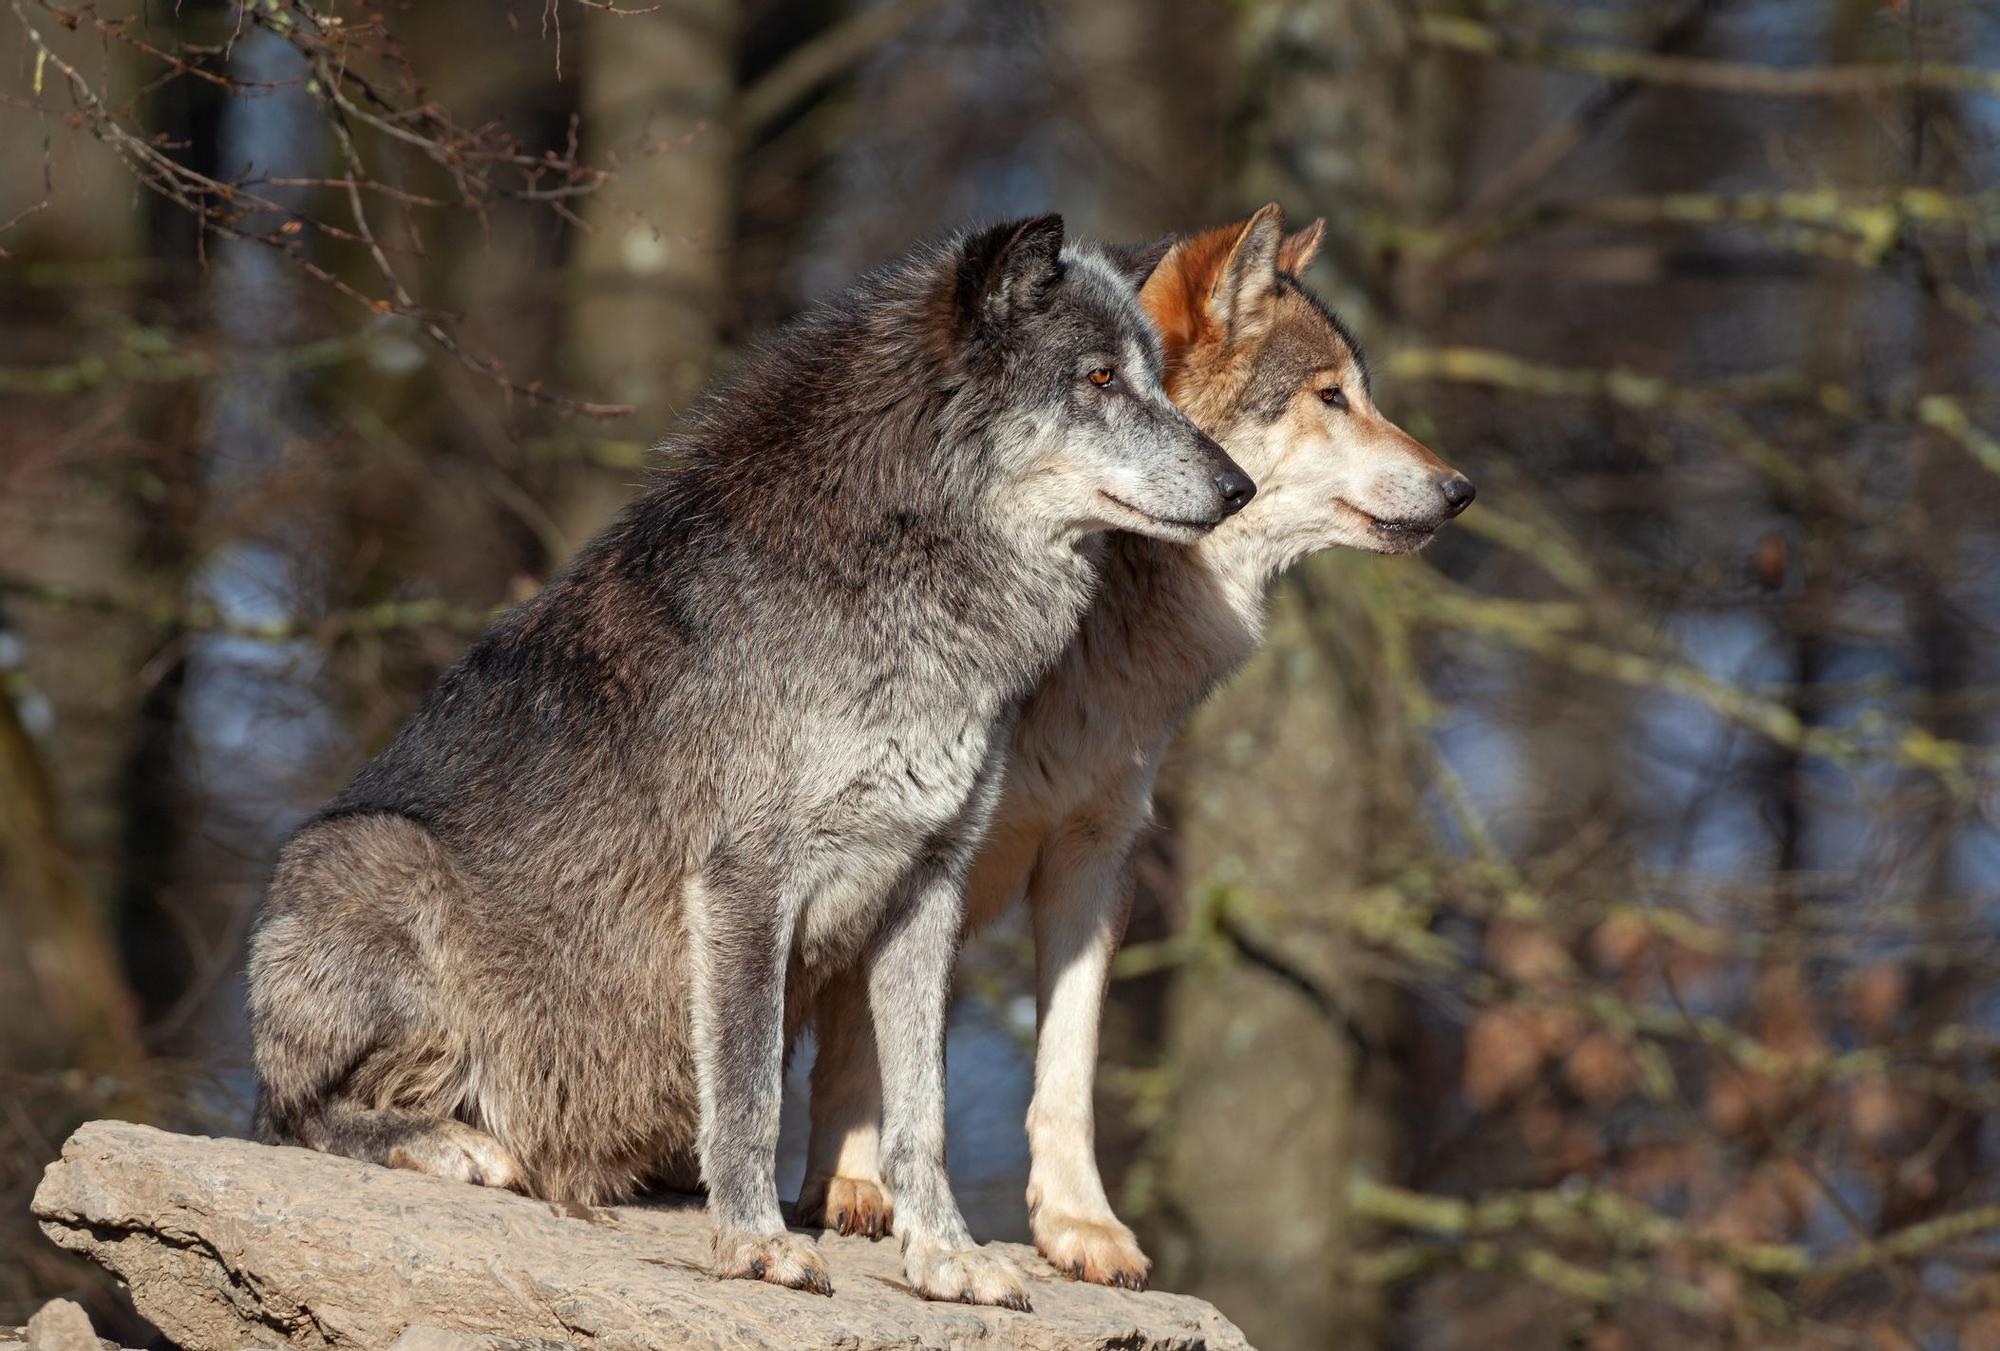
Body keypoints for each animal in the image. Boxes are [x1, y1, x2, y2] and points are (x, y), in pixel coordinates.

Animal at [250, 213, 1248, 1311]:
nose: (1238, 486)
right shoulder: (743, 883)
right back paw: (456, 1145)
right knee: (296, 1112)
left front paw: (944, 1257)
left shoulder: (927, 884)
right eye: (1099, 377)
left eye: (1155, 378)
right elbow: (751, 1089)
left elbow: (921, 1113)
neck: (902, 587)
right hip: (380, 859)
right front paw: (756, 1243)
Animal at [796, 202, 1472, 1287]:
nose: (1460, 489)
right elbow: (873, 1039)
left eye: (1360, 395)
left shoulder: (1095, 851)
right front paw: (856, 1188)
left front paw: (1081, 1225)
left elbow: (1068, 1065)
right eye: (1331, 396)